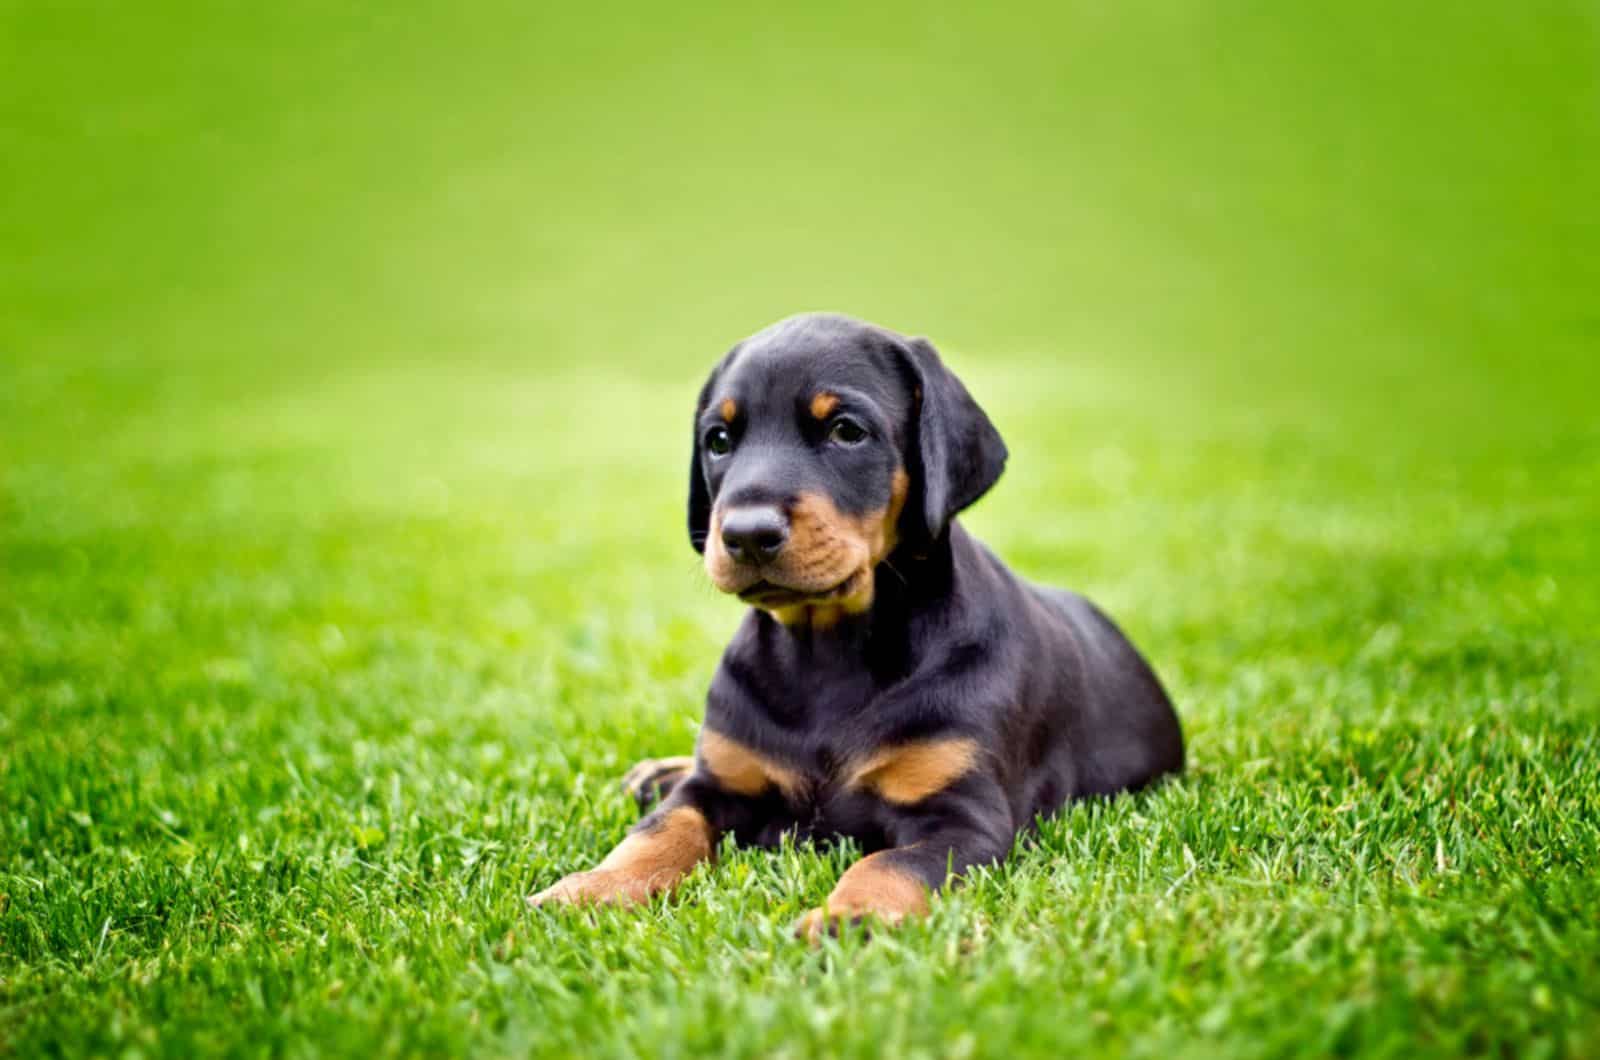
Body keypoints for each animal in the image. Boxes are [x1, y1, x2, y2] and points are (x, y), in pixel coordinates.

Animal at [531, 312, 1184, 941]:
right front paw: (592, 888)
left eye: (846, 430)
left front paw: (852, 918)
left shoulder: (963, 818)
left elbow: (888, 863)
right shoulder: (714, 785)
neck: (827, 652)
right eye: (718, 440)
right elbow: (659, 830)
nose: (745, 533)